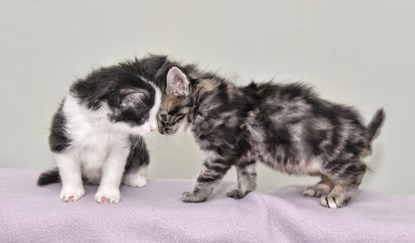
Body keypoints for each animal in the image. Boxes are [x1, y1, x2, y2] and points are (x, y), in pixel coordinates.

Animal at [37, 55, 167, 203]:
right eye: (145, 117)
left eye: (155, 115)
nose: (153, 128)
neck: (103, 126)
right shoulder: (62, 140)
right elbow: (70, 172)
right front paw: (72, 192)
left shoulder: (120, 148)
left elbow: (113, 173)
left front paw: (107, 195)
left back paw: (135, 179)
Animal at [158, 65, 386, 209]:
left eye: (161, 116)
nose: (160, 131)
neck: (204, 102)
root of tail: (361, 131)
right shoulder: (244, 152)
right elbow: (247, 176)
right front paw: (243, 192)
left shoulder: (221, 151)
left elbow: (206, 177)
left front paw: (195, 196)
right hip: (314, 163)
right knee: (332, 176)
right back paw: (319, 188)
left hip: (330, 157)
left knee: (357, 170)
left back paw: (337, 196)